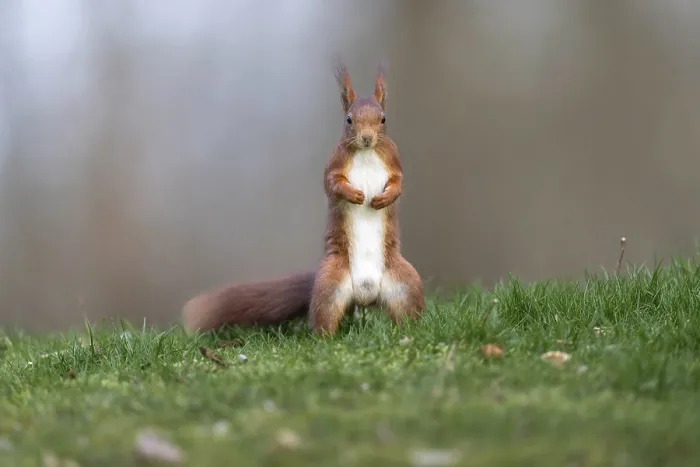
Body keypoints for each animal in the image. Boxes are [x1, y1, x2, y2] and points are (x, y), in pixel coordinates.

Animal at [182, 60, 425, 336]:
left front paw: (383, 199)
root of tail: (366, 296)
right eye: (349, 119)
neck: (366, 152)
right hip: (329, 287)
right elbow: (332, 184)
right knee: (323, 317)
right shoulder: (334, 164)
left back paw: (410, 331)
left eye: (383, 119)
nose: (366, 138)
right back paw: (327, 339)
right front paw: (354, 195)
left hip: (405, 285)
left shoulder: (393, 162)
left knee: (407, 311)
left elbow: (398, 183)